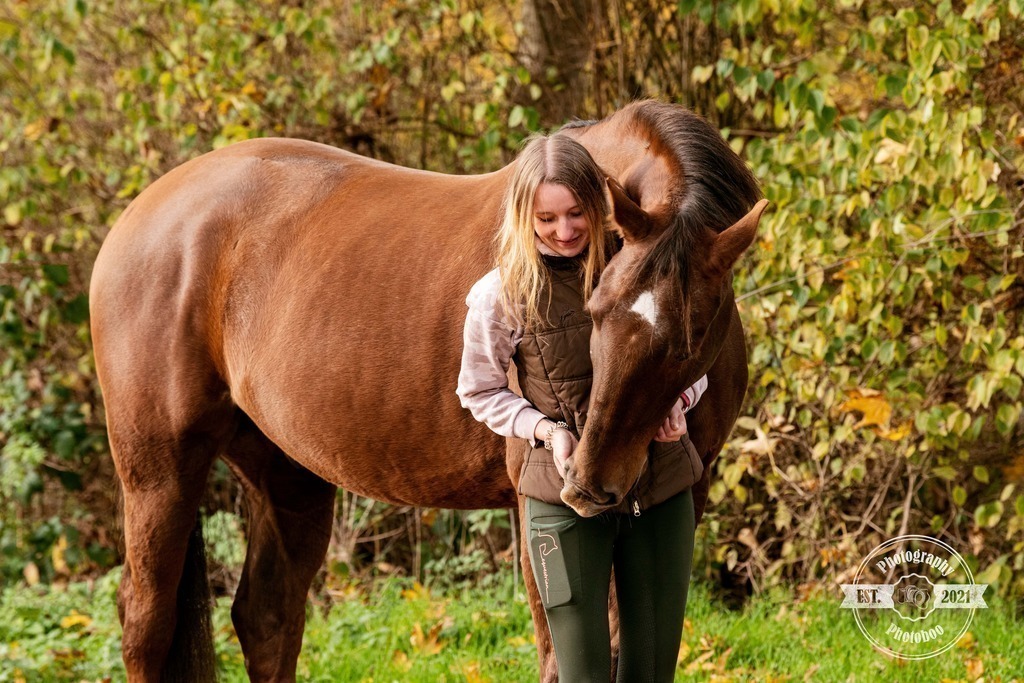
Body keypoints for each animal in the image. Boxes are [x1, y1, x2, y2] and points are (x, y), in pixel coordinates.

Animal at [89, 99, 765, 682]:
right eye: (596, 310)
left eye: (689, 339)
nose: (589, 485)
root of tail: (143, 213)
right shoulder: (537, 511)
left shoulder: (683, 494)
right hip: (159, 472)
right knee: (146, 625)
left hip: (286, 474)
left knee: (267, 618)